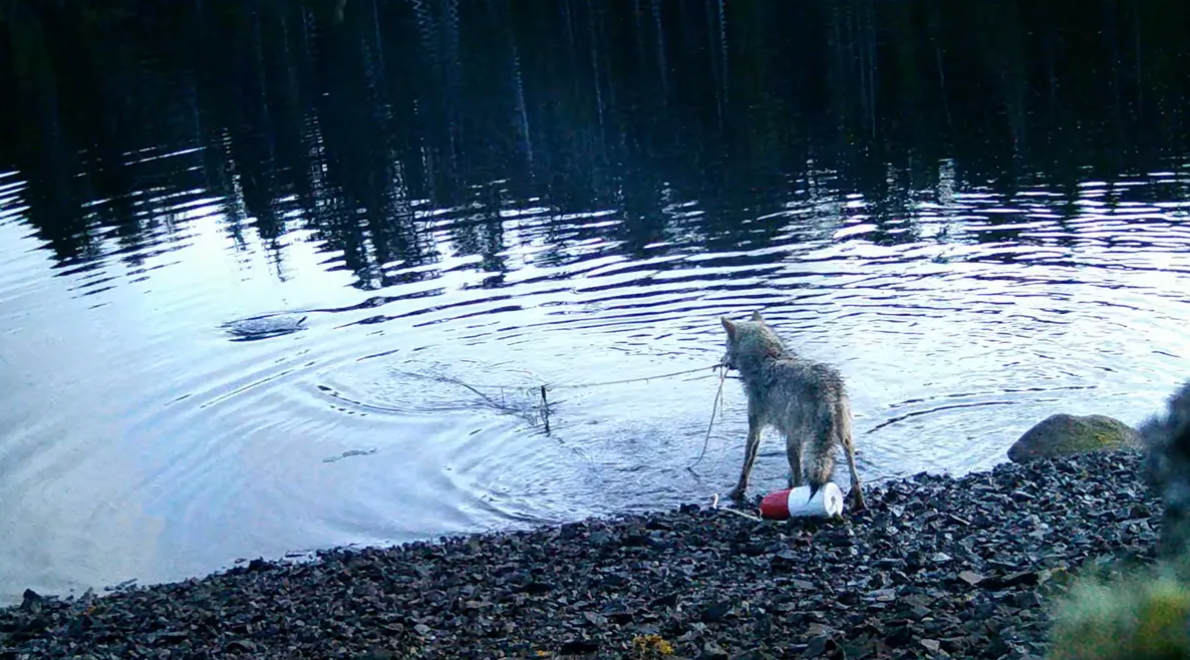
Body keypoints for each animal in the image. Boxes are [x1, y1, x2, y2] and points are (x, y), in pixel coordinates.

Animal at [719, 311, 865, 511]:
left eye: (726, 345)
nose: (721, 361)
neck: (768, 358)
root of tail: (827, 390)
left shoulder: (755, 429)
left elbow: (746, 464)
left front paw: (736, 492)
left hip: (792, 443)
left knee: (800, 480)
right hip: (844, 440)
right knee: (855, 478)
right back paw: (859, 504)